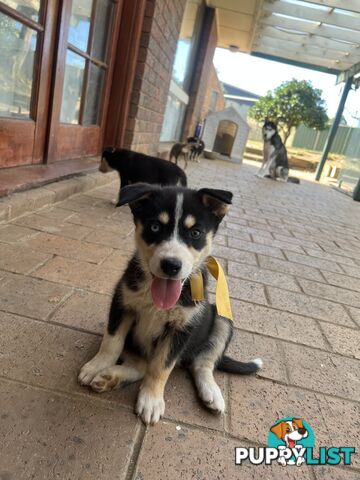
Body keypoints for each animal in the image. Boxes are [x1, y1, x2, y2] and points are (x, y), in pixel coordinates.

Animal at [78, 183, 262, 424]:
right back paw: (109, 376)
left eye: (195, 233)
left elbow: (161, 367)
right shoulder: (122, 302)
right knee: (141, 365)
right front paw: (97, 366)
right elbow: (112, 342)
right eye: (155, 227)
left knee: (202, 363)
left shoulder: (182, 327)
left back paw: (212, 393)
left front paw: (151, 400)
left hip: (222, 319)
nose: (171, 265)